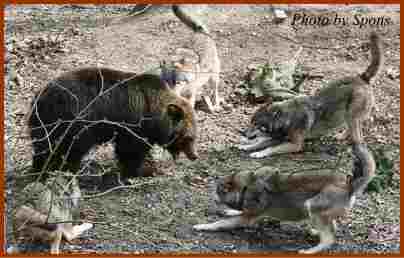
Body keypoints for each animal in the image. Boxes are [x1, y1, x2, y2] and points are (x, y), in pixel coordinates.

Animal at [193, 143, 376, 254]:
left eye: (218, 190)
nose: (211, 195)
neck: (246, 187)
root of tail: (350, 185)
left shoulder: (248, 218)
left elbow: (220, 223)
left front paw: (202, 226)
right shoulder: (247, 213)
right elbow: (234, 213)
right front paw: (229, 211)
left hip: (311, 206)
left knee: (329, 238)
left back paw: (310, 251)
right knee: (331, 229)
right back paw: (315, 232)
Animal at [238, 32, 384, 157]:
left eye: (256, 124)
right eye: (250, 122)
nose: (242, 132)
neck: (286, 118)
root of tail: (362, 77)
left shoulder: (295, 145)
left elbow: (270, 148)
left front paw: (258, 153)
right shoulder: (276, 138)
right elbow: (258, 142)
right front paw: (245, 145)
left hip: (352, 117)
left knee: (358, 136)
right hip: (347, 116)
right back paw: (340, 136)